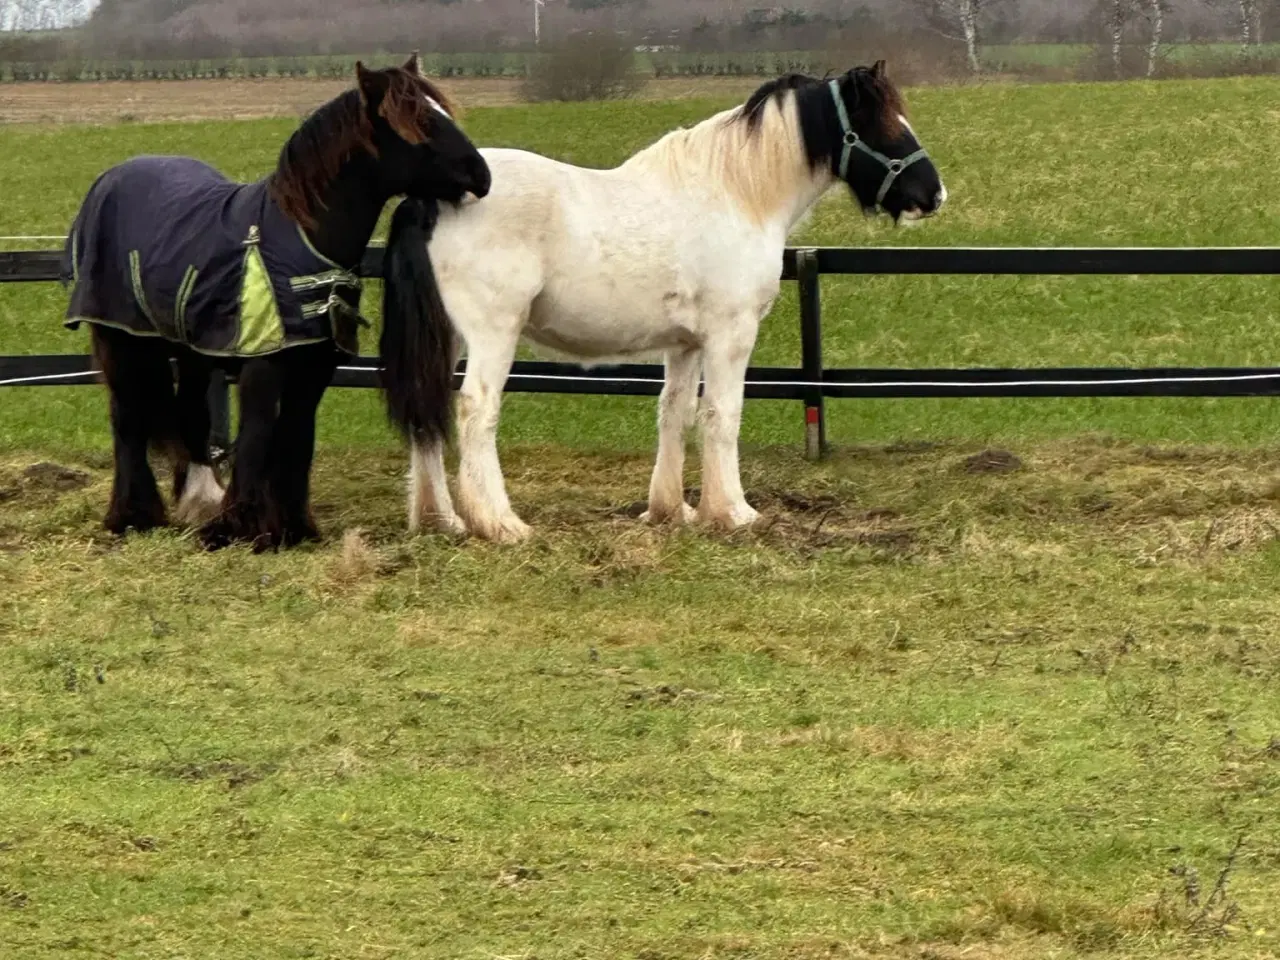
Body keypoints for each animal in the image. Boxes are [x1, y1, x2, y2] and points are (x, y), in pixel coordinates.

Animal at [56, 56, 483, 552]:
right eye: (419, 121)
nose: (483, 175)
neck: (300, 238)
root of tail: (110, 179)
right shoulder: (264, 363)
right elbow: (257, 436)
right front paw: (238, 529)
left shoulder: (314, 367)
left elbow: (297, 438)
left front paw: (293, 528)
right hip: (120, 339)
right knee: (126, 419)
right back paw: (132, 517)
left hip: (191, 350)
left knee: (191, 415)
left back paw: (196, 505)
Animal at [384, 62, 947, 542]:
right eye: (884, 126)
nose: (933, 194)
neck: (736, 194)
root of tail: (431, 199)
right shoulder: (731, 334)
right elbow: (723, 414)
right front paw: (734, 512)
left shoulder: (685, 345)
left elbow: (675, 412)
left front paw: (672, 510)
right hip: (492, 333)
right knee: (476, 411)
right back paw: (500, 523)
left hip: (447, 337)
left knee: (429, 411)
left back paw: (441, 519)